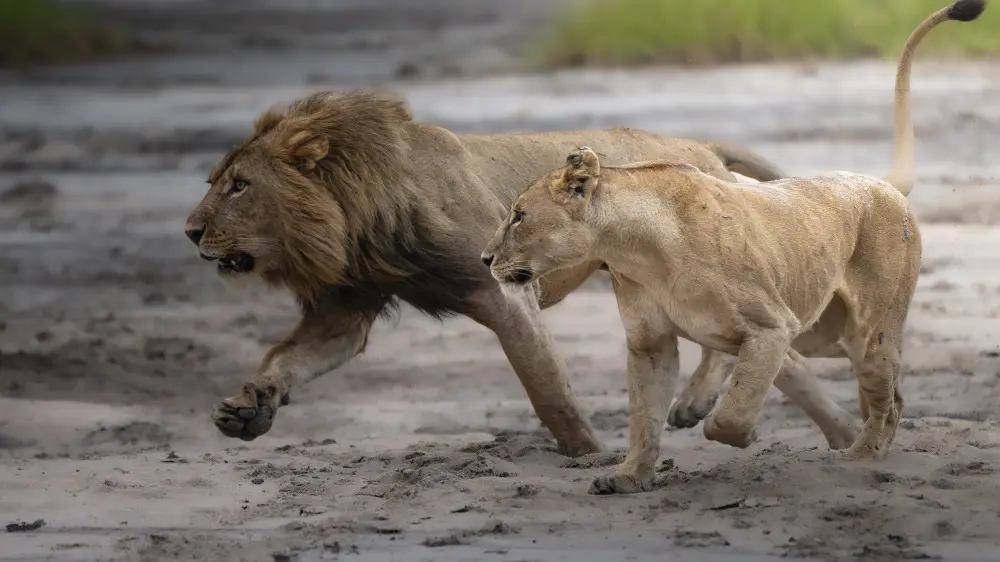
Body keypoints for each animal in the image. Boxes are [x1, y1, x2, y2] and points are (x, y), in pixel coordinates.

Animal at [183, 70, 817, 459]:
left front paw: (588, 454)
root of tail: (698, 145)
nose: (190, 232)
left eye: (240, 186)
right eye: (214, 181)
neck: (361, 217)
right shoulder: (346, 306)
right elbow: (287, 359)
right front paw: (248, 408)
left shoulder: (504, 291)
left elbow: (547, 387)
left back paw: (693, 403)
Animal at [481, 0, 985, 493]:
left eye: (519, 215)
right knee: (887, 388)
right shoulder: (650, 343)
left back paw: (861, 455)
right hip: (826, 332)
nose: (485, 258)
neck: (634, 253)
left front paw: (738, 434)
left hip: (868, 329)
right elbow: (643, 415)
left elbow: (735, 407)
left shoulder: (772, 326)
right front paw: (629, 476)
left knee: (887, 395)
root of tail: (878, 182)